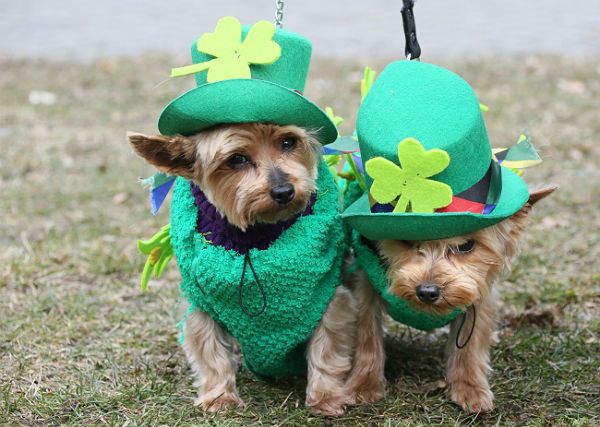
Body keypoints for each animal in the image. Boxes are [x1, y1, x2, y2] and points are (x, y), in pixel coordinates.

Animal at [127, 123, 356, 418]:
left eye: (288, 142)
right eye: (236, 159)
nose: (284, 191)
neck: (254, 236)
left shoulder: (329, 294)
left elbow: (327, 348)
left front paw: (326, 398)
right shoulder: (201, 301)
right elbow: (209, 350)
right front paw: (219, 398)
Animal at [346, 188, 556, 414]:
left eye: (466, 246)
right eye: (406, 240)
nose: (427, 291)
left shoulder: (477, 291)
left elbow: (470, 341)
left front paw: (470, 386)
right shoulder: (364, 284)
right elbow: (367, 333)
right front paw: (363, 385)